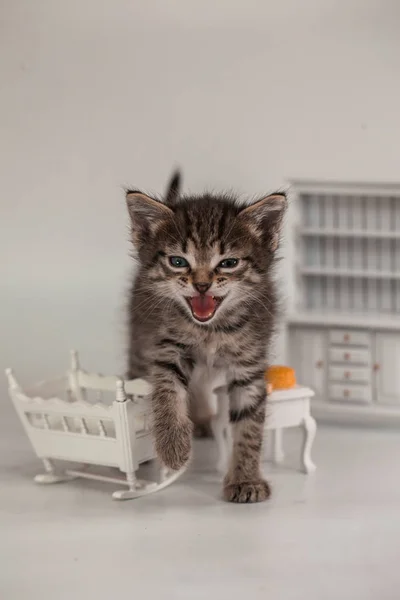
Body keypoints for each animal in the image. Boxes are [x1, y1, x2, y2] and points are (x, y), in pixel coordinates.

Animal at [126, 170, 286, 502]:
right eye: (178, 261)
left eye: (228, 263)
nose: (201, 285)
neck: (210, 331)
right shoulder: (165, 346)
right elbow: (166, 391)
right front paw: (173, 445)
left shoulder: (249, 363)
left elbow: (249, 425)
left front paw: (246, 478)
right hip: (138, 336)